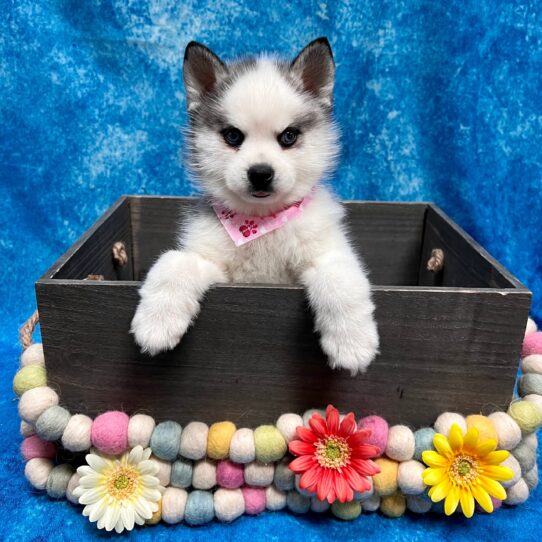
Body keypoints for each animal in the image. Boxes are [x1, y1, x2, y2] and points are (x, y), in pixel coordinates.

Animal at [131, 38, 382, 376]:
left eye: (288, 136)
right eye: (232, 136)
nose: (260, 173)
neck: (260, 225)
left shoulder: (330, 252)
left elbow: (340, 280)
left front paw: (352, 344)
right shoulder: (211, 263)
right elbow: (173, 263)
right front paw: (156, 323)